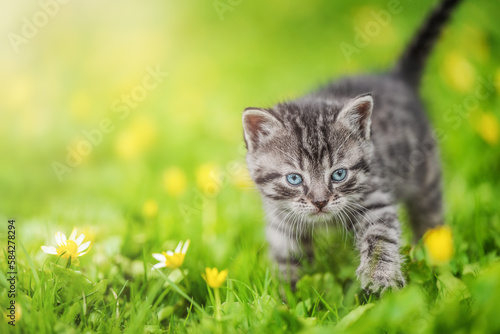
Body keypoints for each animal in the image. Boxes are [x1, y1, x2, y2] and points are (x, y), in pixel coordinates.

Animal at [241, 0, 460, 292]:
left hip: (427, 176)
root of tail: (395, 77)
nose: (320, 202)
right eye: (294, 178)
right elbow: (287, 258)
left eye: (339, 174)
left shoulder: (376, 196)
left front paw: (381, 277)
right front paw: (288, 295)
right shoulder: (281, 219)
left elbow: (380, 237)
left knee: (430, 217)